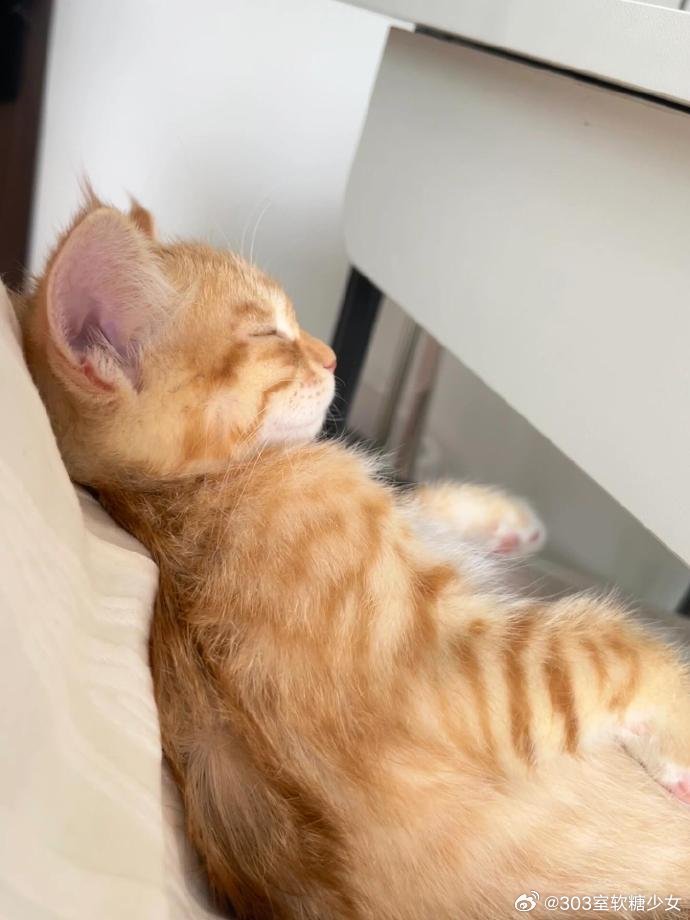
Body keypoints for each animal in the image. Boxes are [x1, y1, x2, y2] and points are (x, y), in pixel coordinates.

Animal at [19, 196, 690, 919]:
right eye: (268, 334)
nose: (334, 355)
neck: (177, 498)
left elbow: (420, 505)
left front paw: (504, 521)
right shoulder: (456, 672)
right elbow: (615, 645)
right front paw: (679, 731)